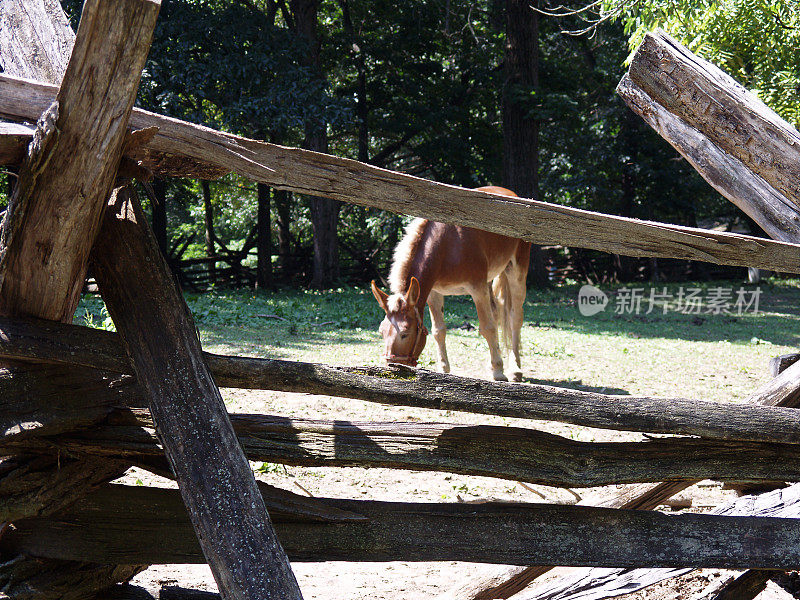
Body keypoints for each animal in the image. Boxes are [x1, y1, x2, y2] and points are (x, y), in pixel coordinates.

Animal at [372, 188, 536, 382]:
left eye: (404, 333)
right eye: (382, 332)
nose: (392, 370)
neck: (446, 245)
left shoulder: (478, 289)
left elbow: (488, 328)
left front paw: (498, 371)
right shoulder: (434, 293)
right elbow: (439, 330)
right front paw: (444, 369)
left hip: (516, 272)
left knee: (514, 317)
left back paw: (515, 368)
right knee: (497, 313)